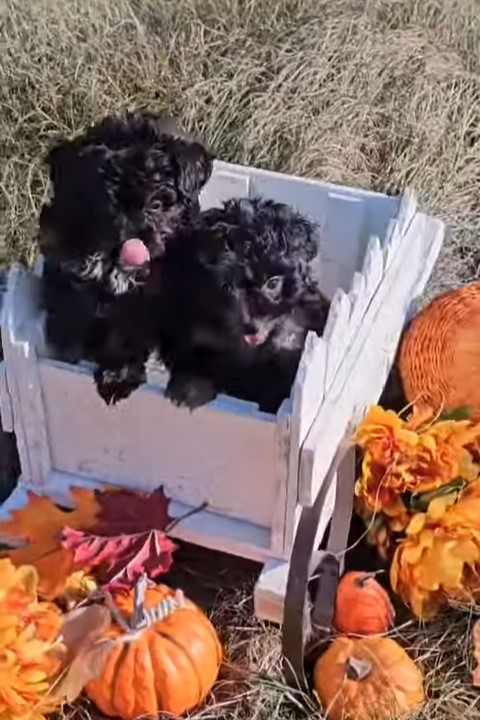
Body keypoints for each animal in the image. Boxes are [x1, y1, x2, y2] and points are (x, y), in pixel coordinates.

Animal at [40, 111, 213, 404]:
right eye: (106, 203)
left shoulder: (147, 300)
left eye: (157, 204)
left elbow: (126, 334)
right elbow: (73, 305)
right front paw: (66, 350)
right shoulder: (66, 256)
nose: (130, 241)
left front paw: (117, 378)